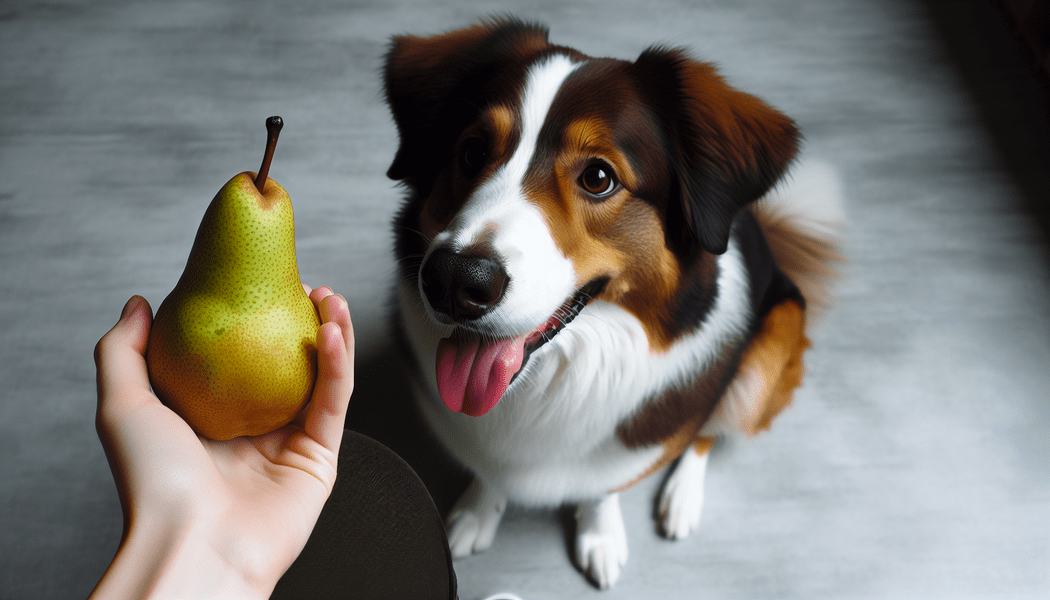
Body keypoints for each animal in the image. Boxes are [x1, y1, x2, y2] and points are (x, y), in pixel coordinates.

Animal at [382, 17, 839, 588]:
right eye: (470, 153)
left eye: (598, 178)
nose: (453, 279)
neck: (552, 381)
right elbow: (488, 470)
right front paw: (479, 510)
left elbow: (604, 487)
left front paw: (599, 534)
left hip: (771, 346)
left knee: (709, 429)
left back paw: (683, 496)